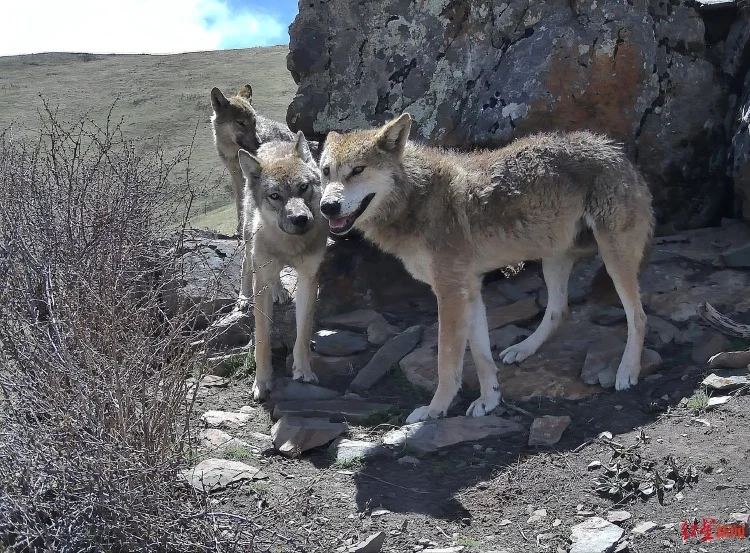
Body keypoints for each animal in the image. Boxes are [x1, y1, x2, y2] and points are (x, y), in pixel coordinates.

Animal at [236, 130, 328, 396]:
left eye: (303, 187)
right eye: (275, 196)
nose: (300, 219)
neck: (290, 245)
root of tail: (272, 143)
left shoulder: (309, 279)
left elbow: (303, 332)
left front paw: (303, 370)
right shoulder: (261, 283)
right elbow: (262, 339)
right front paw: (262, 381)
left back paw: (279, 291)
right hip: (249, 241)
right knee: (246, 264)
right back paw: (243, 297)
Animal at [320, 112, 656, 422]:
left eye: (358, 170)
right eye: (326, 172)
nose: (327, 207)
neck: (417, 198)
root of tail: (618, 153)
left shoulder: (450, 292)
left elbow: (447, 361)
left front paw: (434, 410)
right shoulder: (469, 289)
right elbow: (481, 355)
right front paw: (489, 400)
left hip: (612, 259)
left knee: (638, 316)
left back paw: (627, 371)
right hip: (552, 259)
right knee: (559, 310)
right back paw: (523, 349)